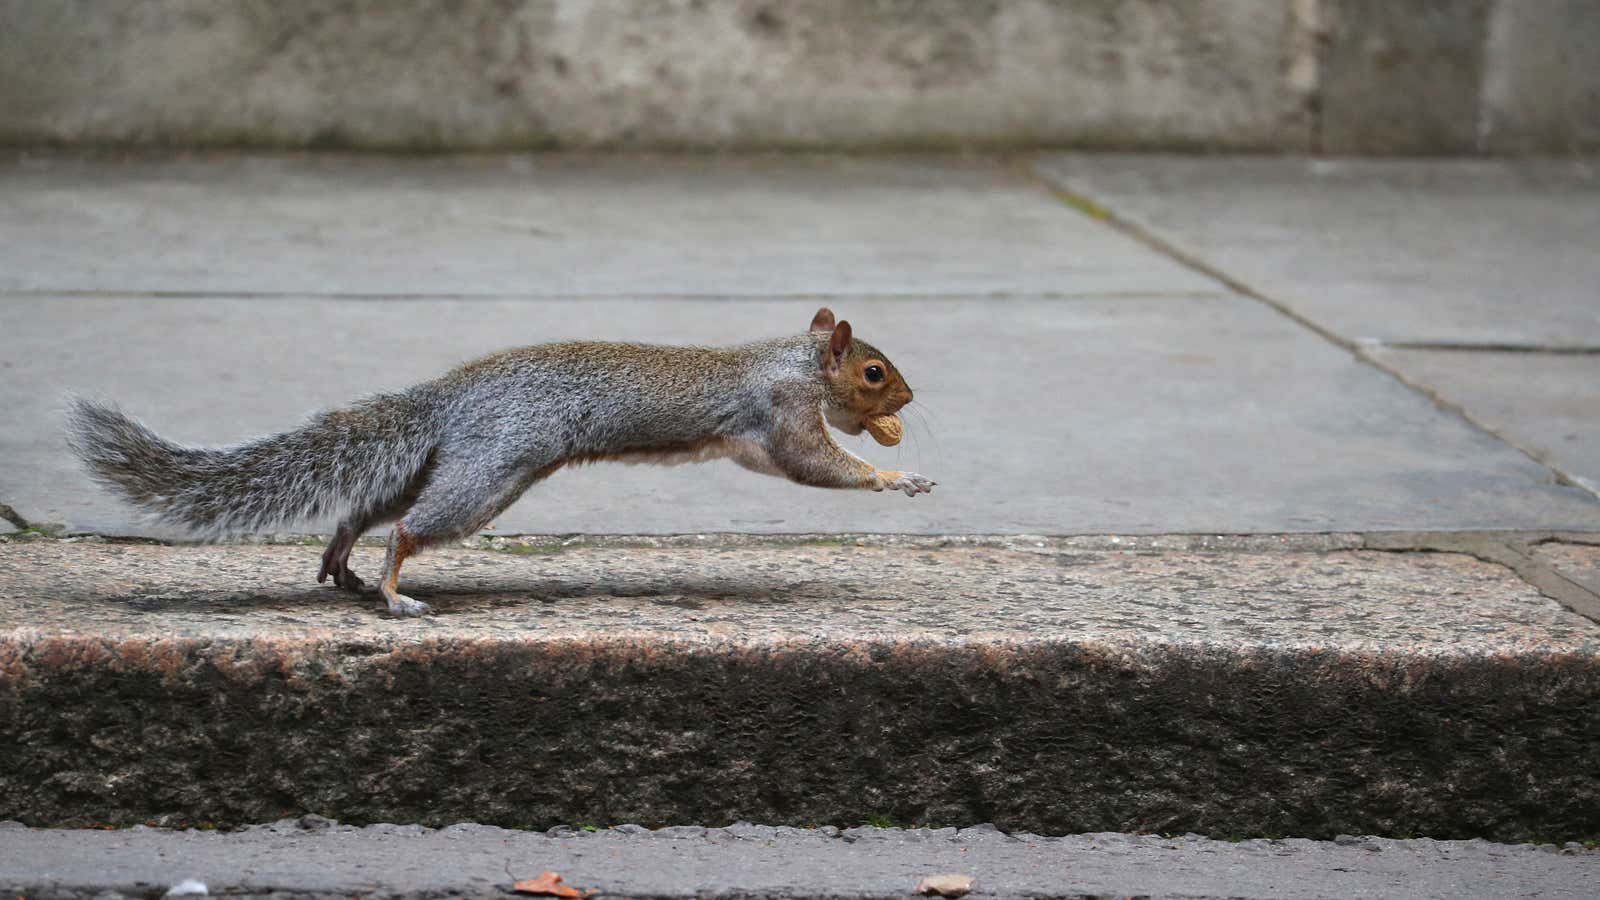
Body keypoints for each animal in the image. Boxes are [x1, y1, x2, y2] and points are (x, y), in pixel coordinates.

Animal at [68, 304, 934, 611]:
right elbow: (814, 466)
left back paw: (343, 562)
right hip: (489, 472)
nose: (911, 397)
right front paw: (898, 475)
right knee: (406, 530)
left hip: (448, 463)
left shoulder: (754, 438)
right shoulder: (781, 415)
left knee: (366, 508)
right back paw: (393, 593)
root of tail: (446, 398)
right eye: (873, 372)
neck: (792, 361)